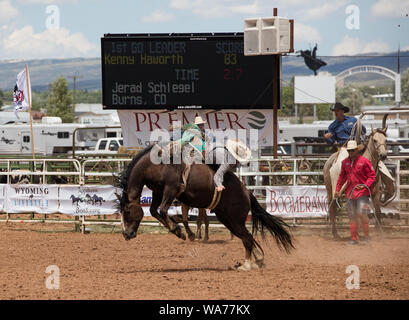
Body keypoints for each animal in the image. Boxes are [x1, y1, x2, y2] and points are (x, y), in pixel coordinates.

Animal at [115, 146, 294, 272]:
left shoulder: (171, 189)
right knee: (247, 237)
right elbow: (154, 211)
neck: (155, 165)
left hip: (234, 220)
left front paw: (179, 231)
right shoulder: (158, 191)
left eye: (127, 212)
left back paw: (246, 266)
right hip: (228, 220)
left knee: (248, 238)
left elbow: (163, 210)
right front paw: (179, 230)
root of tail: (247, 193)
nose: (126, 234)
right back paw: (258, 260)